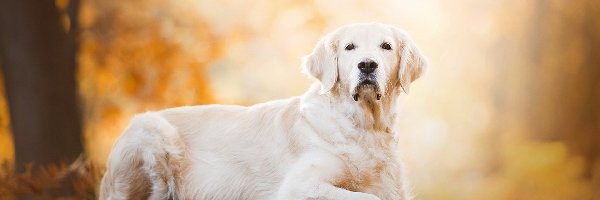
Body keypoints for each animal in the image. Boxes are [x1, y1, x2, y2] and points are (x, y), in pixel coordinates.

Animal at [99, 22, 426, 199]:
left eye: (386, 46)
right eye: (349, 47)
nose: (367, 65)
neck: (362, 125)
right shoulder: (299, 186)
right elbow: (364, 197)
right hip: (151, 132)